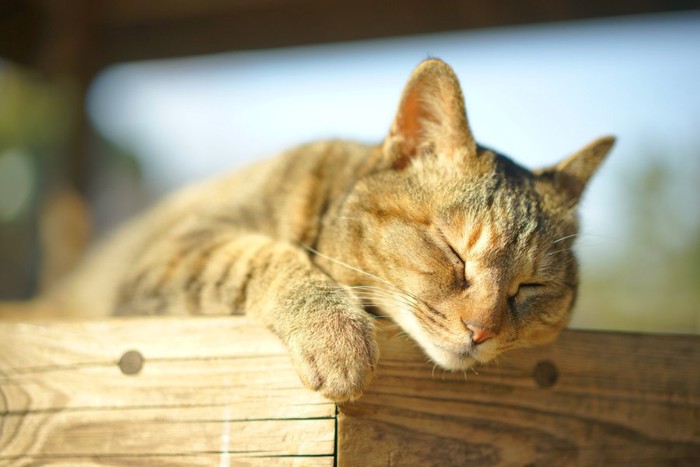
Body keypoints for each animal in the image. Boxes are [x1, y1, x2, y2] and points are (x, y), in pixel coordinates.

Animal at [37, 58, 612, 402]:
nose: (483, 330)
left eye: (532, 286)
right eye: (453, 252)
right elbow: (262, 256)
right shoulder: (174, 253)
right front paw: (335, 333)